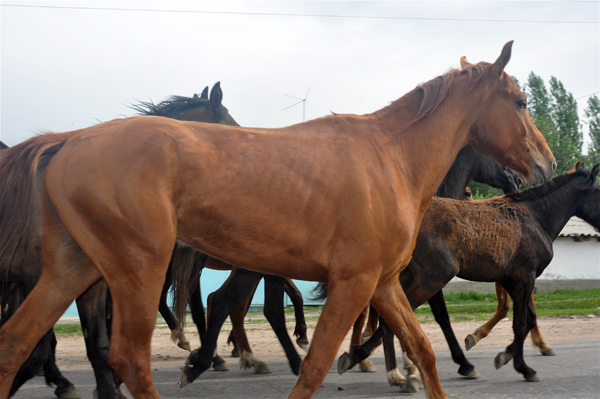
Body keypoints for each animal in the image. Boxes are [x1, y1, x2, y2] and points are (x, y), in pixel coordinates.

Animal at [0, 41, 556, 399]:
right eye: (521, 101)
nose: (545, 164)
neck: (389, 157)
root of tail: (67, 140)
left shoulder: (381, 284)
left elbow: (421, 350)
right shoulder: (353, 283)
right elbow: (314, 366)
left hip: (74, 269)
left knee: (16, 342)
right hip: (137, 268)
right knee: (129, 358)